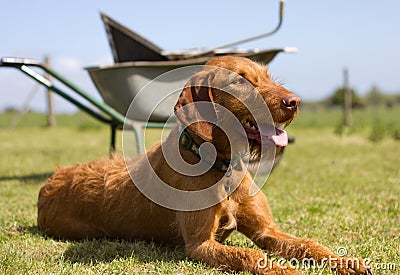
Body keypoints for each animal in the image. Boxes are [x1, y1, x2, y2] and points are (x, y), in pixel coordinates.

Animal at [37, 57, 372, 274]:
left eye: (267, 76)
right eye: (239, 80)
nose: (294, 102)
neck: (221, 167)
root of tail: (51, 181)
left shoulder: (268, 232)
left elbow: (309, 244)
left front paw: (347, 261)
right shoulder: (199, 245)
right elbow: (250, 256)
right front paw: (288, 271)